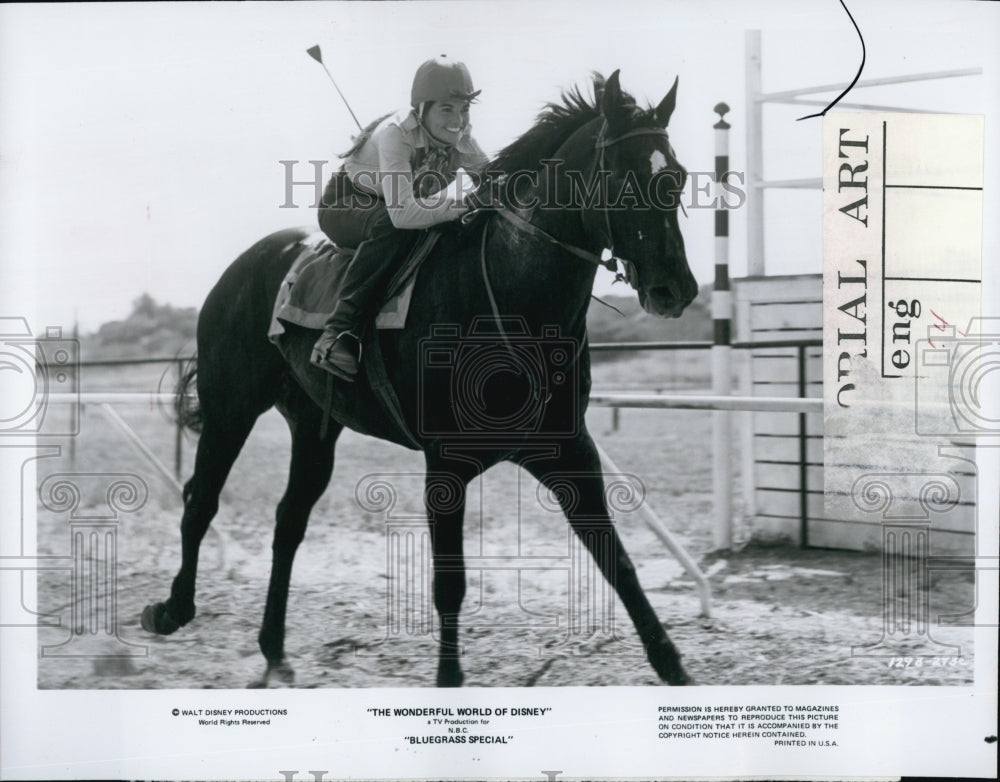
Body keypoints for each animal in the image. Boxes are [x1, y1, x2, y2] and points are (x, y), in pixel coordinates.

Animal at [141, 70, 700, 688]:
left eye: (675, 176)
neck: (510, 298)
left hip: (313, 424)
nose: (676, 289)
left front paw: (674, 667)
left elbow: (616, 560)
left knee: (288, 520)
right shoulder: (446, 463)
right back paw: (171, 610)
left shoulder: (568, 449)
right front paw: (449, 678)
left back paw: (273, 647)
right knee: (201, 499)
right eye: (624, 176)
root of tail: (246, 263)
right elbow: (450, 584)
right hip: (231, 404)